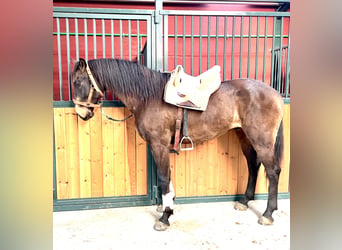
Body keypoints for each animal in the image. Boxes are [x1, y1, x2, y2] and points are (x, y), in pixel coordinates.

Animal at [71, 57, 284, 231]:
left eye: (77, 82)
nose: (82, 114)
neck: (148, 97)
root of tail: (275, 94)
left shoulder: (158, 144)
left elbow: (163, 177)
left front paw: (165, 217)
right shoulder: (161, 146)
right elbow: (168, 176)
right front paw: (168, 206)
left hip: (261, 140)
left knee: (273, 171)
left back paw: (267, 214)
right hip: (245, 136)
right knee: (253, 166)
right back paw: (245, 201)